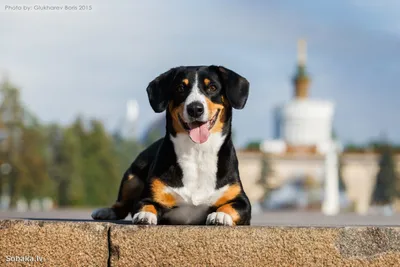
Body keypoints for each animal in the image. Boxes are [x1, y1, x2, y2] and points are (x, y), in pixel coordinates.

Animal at [92, 65, 252, 226]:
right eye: (180, 88)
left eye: (212, 87)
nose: (195, 108)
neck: (197, 152)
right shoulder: (149, 196)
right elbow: (145, 205)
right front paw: (145, 215)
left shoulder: (241, 200)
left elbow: (231, 206)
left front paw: (221, 215)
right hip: (132, 177)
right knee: (122, 204)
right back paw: (105, 211)